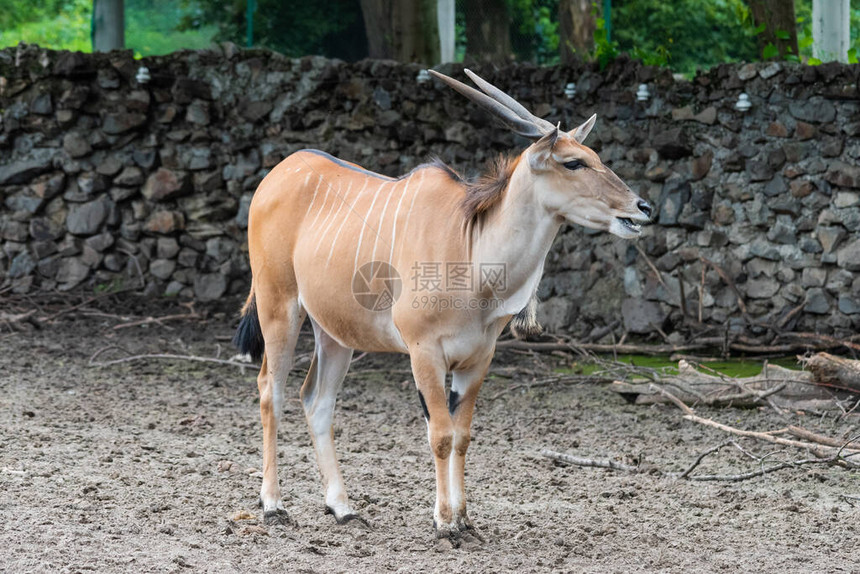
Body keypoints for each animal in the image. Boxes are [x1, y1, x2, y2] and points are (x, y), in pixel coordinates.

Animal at [235, 70, 652, 544]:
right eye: (573, 163)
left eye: (594, 156)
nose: (642, 207)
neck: (472, 254)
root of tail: (276, 175)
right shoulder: (425, 353)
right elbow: (440, 434)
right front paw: (445, 522)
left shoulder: (477, 360)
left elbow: (462, 434)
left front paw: (465, 518)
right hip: (278, 307)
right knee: (271, 390)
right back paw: (273, 505)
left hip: (336, 333)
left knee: (317, 400)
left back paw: (342, 508)